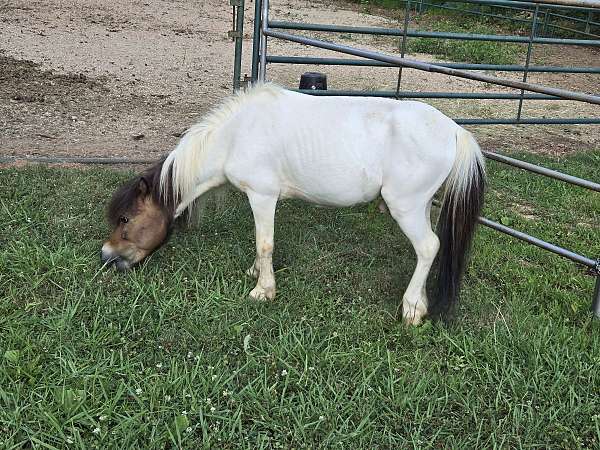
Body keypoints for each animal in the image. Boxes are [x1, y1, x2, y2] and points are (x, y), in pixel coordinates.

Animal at [103, 83, 486, 324]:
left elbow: (265, 243)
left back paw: (411, 309)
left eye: (125, 219)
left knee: (428, 247)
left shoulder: (262, 196)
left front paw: (263, 290)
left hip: (405, 207)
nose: (107, 256)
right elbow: (259, 244)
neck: (235, 135)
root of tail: (456, 131)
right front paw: (256, 272)